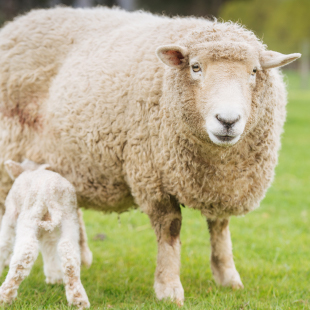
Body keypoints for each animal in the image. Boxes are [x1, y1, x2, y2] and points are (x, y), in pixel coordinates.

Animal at [0, 159, 89, 308]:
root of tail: (51, 192)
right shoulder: (48, 228)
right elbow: (49, 246)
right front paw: (54, 276)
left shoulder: (11, 213)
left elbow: (4, 242)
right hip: (69, 218)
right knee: (68, 252)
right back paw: (78, 299)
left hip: (30, 215)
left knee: (25, 253)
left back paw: (5, 296)